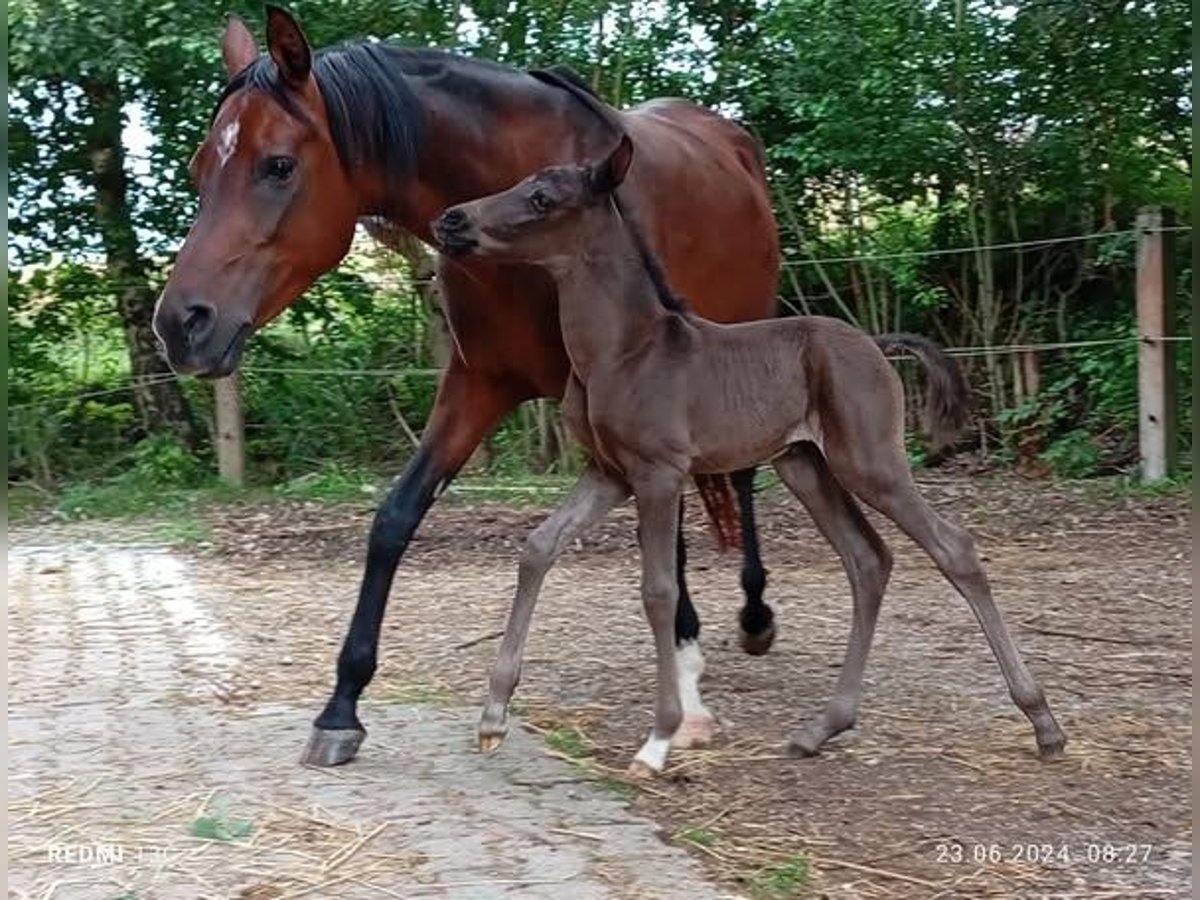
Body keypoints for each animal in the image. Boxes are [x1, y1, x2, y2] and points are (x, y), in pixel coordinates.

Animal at [150, 7, 782, 768]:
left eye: (278, 165)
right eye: (199, 168)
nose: (179, 325)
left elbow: (667, 540)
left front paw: (684, 690)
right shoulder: (476, 385)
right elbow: (395, 517)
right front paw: (341, 707)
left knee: (743, 478)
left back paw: (752, 616)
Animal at [434, 137, 1070, 777]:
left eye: (542, 198)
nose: (451, 221)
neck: (623, 351)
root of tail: (876, 343)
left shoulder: (657, 473)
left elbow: (658, 590)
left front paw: (658, 740)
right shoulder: (609, 473)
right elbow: (538, 548)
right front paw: (492, 718)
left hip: (871, 463)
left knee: (952, 547)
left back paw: (1044, 723)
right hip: (804, 464)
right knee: (868, 560)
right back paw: (821, 728)